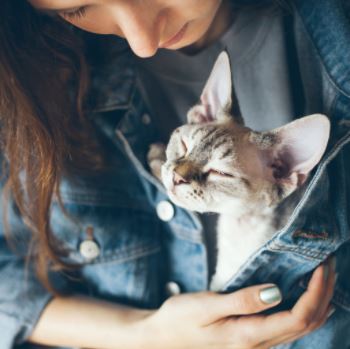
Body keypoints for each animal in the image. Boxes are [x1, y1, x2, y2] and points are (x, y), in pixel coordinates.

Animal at [148, 51, 330, 290]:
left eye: (221, 173)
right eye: (185, 145)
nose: (177, 176)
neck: (238, 225)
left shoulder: (224, 282)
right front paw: (158, 159)